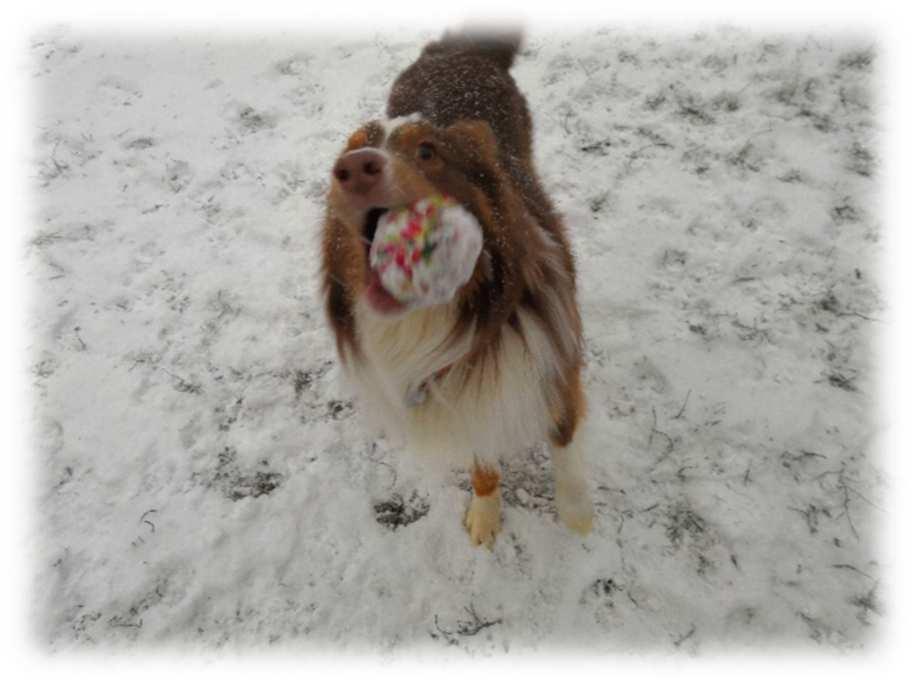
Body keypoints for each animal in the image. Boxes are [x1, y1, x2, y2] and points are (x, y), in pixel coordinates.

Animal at [318, 29, 592, 552]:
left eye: (428, 152)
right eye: (350, 151)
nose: (355, 167)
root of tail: (459, 49)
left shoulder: (557, 365)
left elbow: (566, 447)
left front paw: (577, 518)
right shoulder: (455, 397)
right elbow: (483, 466)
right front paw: (485, 516)